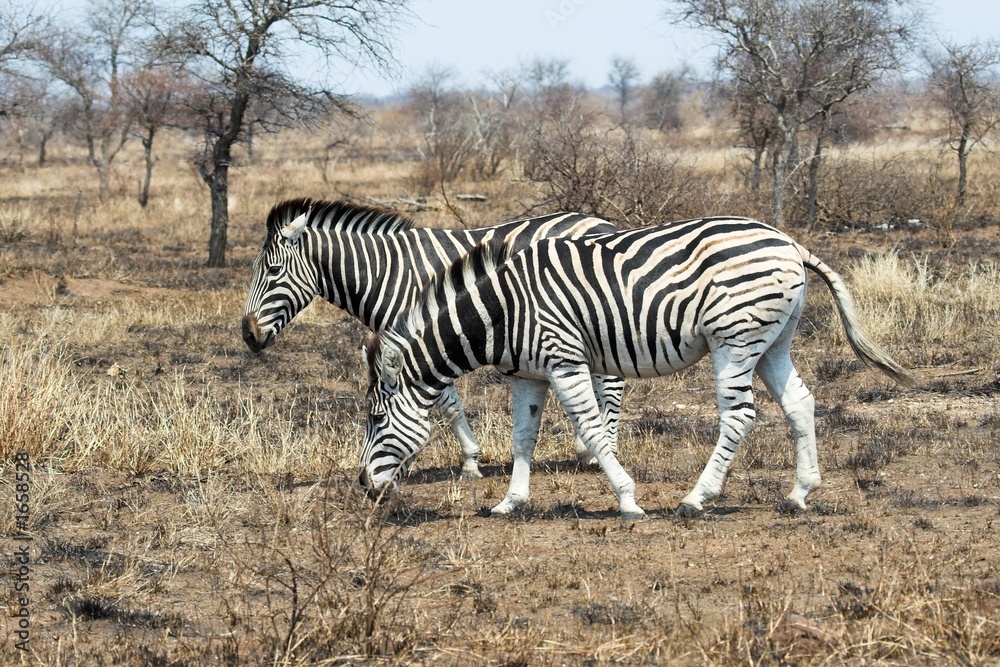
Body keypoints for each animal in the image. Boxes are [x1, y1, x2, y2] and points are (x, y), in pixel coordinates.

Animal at [238, 198, 620, 480]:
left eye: (273, 271)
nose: (248, 335)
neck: (385, 273)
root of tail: (605, 223)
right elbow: (443, 402)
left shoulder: (424, 337)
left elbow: (446, 403)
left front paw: (469, 462)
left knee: (611, 383)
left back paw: (600, 449)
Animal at [358, 217, 916, 520]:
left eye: (376, 419)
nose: (364, 486)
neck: (505, 310)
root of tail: (789, 242)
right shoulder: (529, 375)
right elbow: (523, 438)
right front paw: (510, 502)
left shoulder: (565, 359)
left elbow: (593, 429)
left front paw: (627, 499)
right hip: (773, 340)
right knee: (800, 401)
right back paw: (799, 493)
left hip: (735, 339)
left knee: (740, 416)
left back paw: (696, 498)